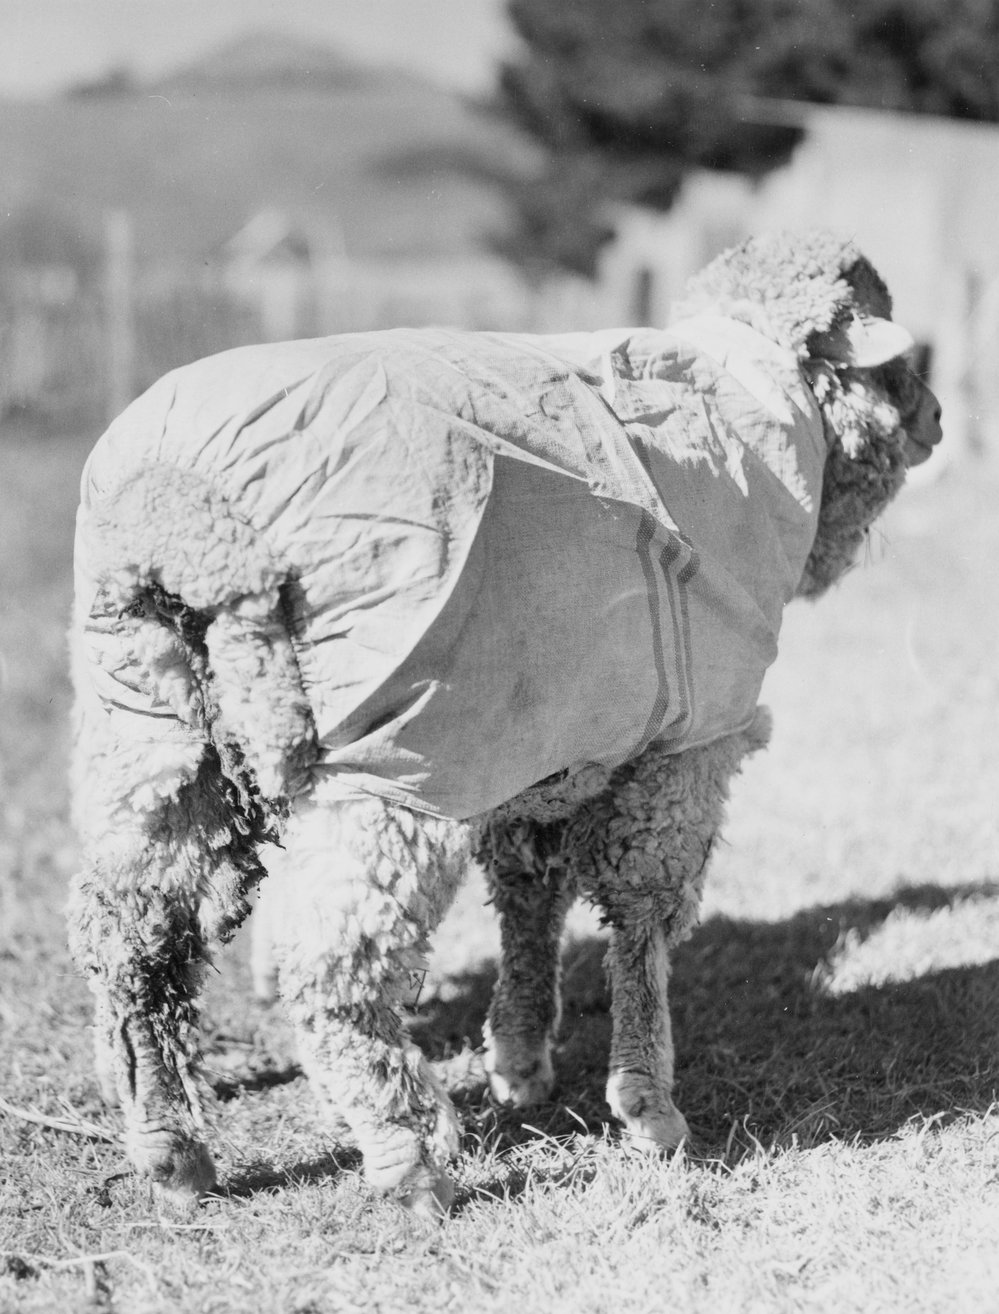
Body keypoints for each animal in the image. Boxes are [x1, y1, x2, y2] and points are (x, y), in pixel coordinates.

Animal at [68, 229, 942, 1216]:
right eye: (893, 362)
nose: (939, 417)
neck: (753, 405)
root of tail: (186, 510)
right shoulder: (681, 751)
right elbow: (642, 921)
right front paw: (648, 1107)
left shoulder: (544, 740)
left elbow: (530, 898)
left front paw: (520, 1059)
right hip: (387, 760)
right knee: (333, 964)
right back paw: (408, 1159)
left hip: (151, 733)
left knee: (128, 935)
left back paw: (168, 1144)